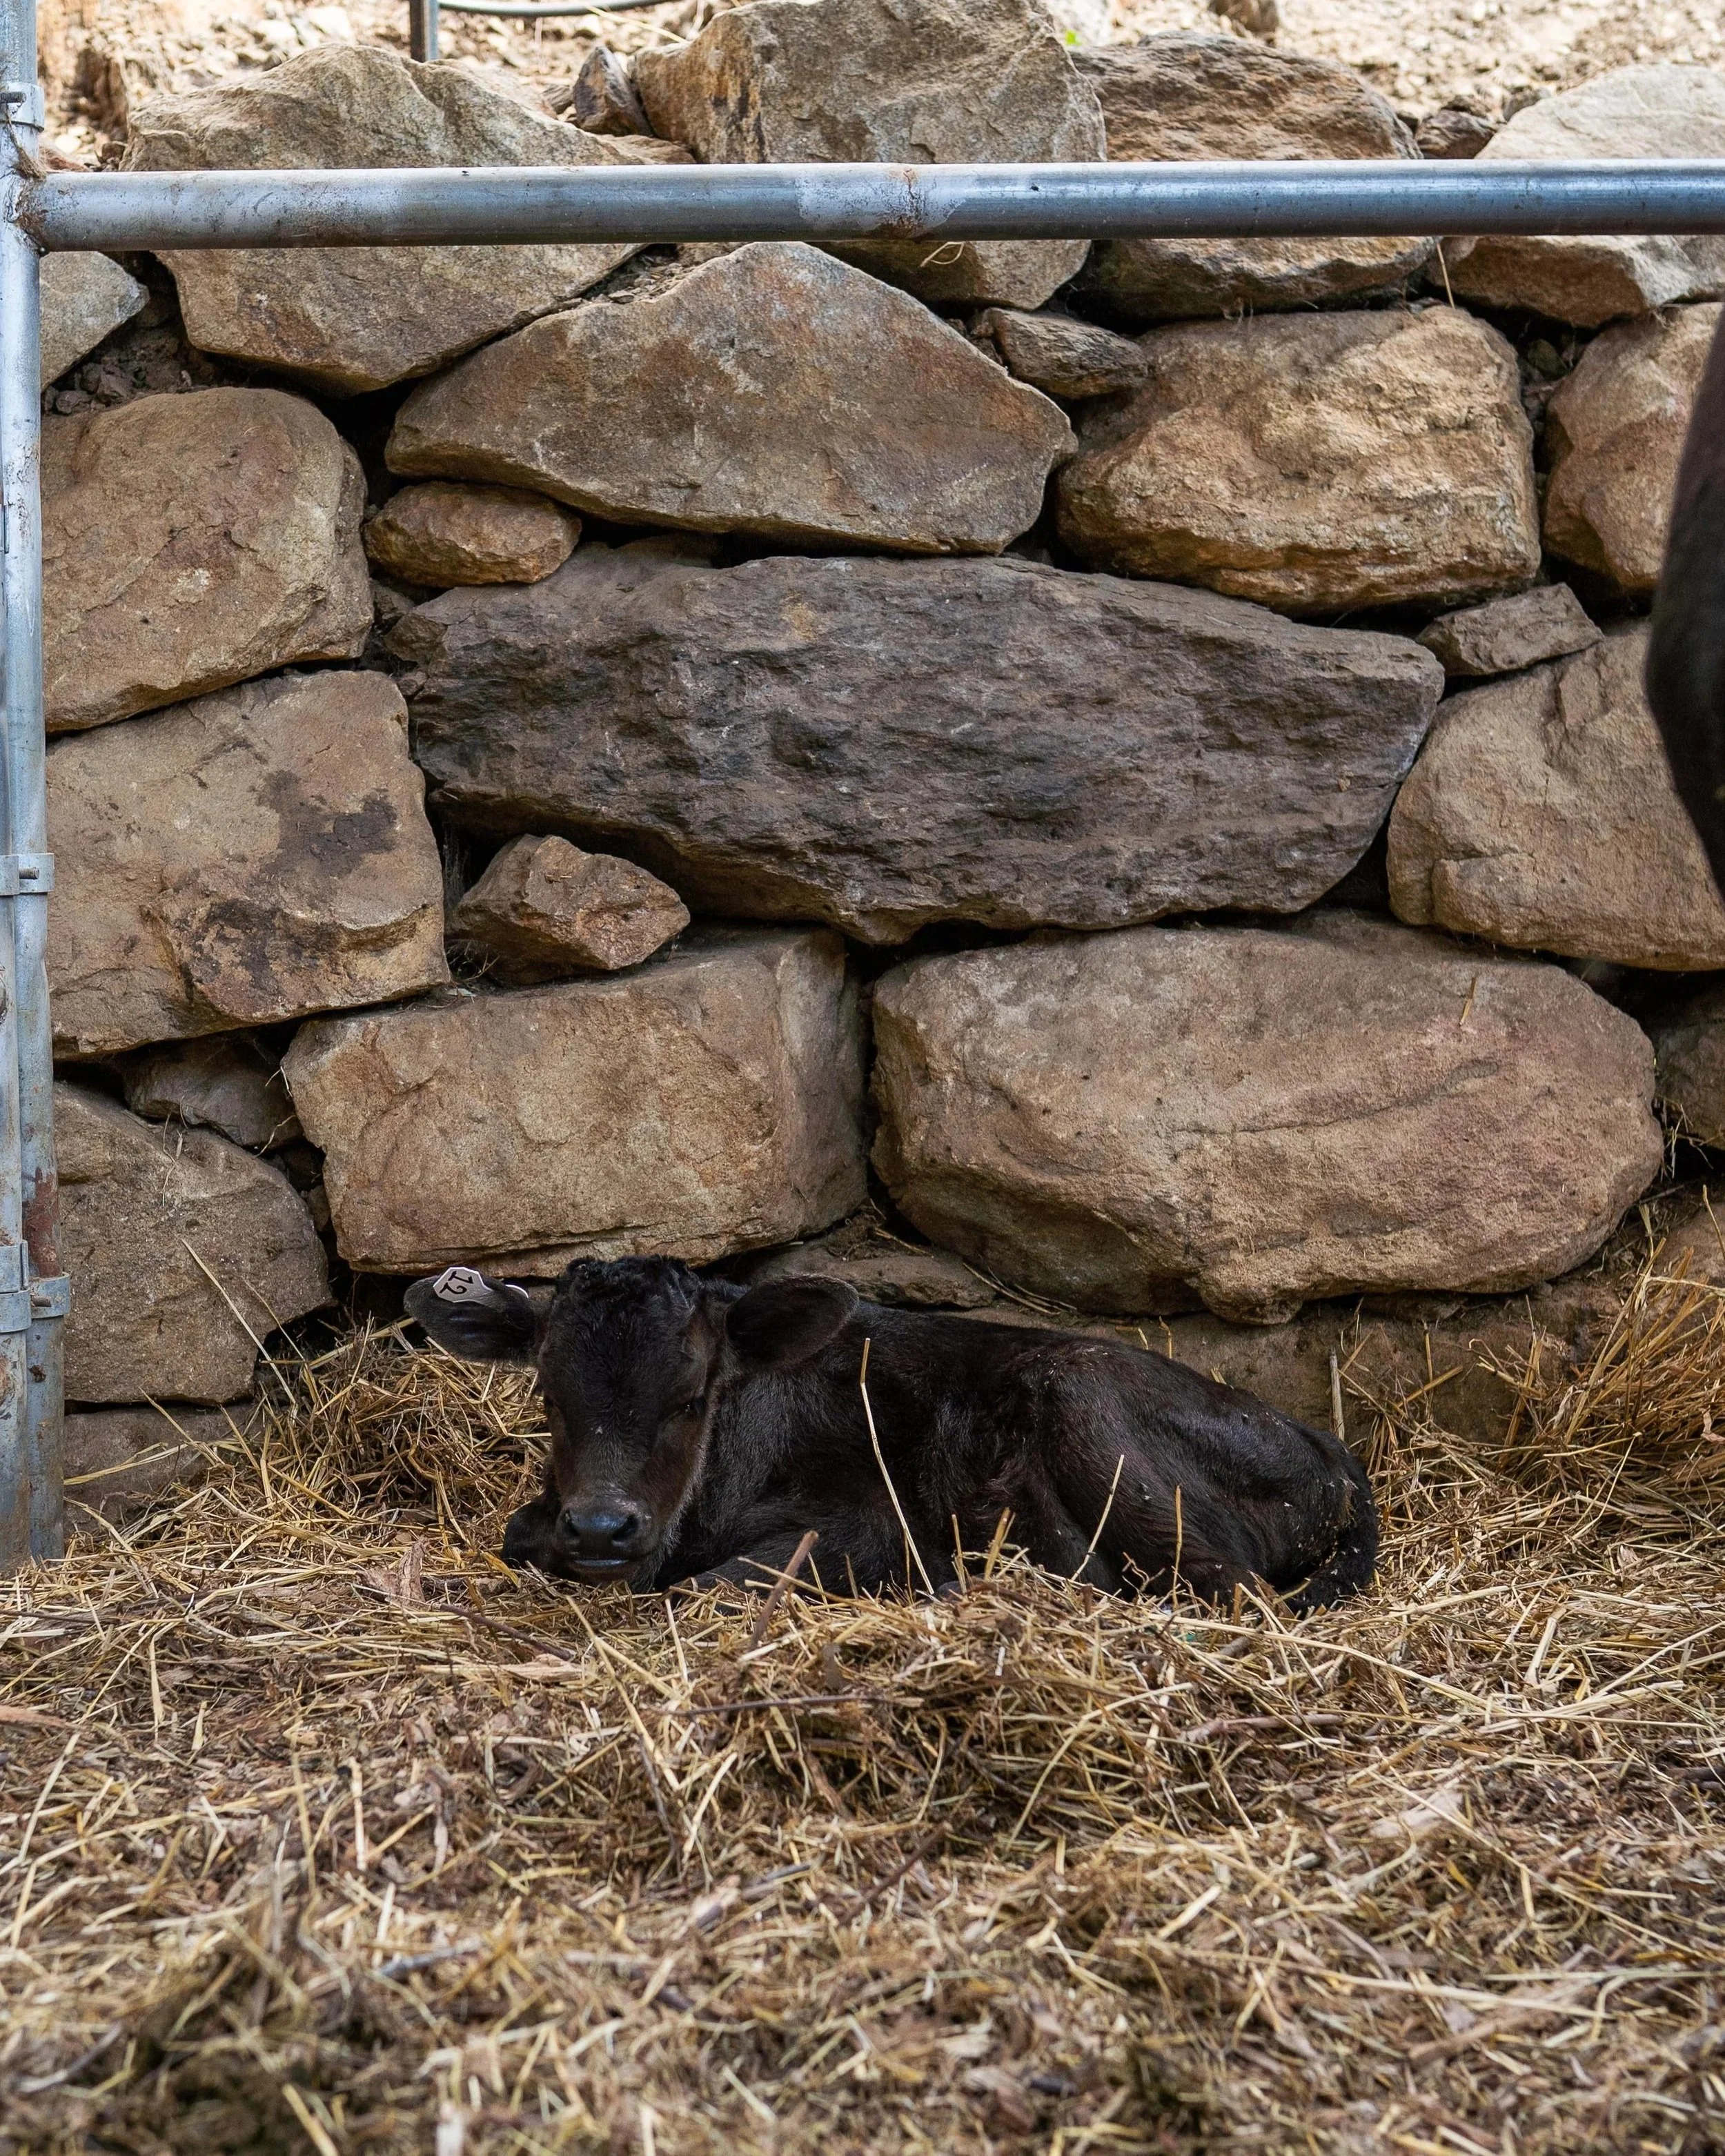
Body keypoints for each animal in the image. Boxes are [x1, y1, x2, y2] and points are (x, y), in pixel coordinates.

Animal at [405, 1257, 1378, 1613]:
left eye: (690, 1396)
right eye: (548, 1393)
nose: (603, 1526)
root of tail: (1331, 1450)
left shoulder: (872, 1525)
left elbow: (702, 1591)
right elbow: (518, 1533)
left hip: (1088, 1406)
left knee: (1239, 1594)